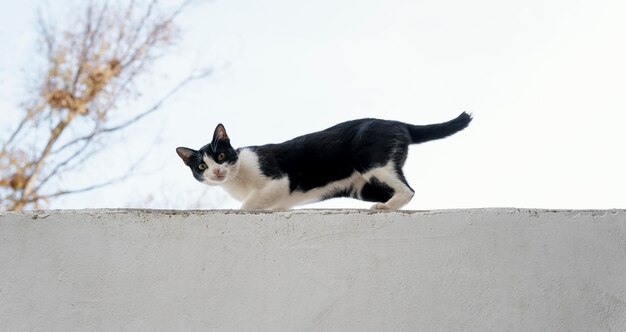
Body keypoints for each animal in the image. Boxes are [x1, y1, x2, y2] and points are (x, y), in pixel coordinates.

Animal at [174, 111, 468, 210]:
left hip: (374, 162)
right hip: (364, 187)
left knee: (409, 190)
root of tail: (398, 123)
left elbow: (247, 205)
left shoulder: (277, 181)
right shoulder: (280, 201)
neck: (237, 180)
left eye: (221, 156)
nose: (216, 172)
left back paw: (386, 208)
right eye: (202, 166)